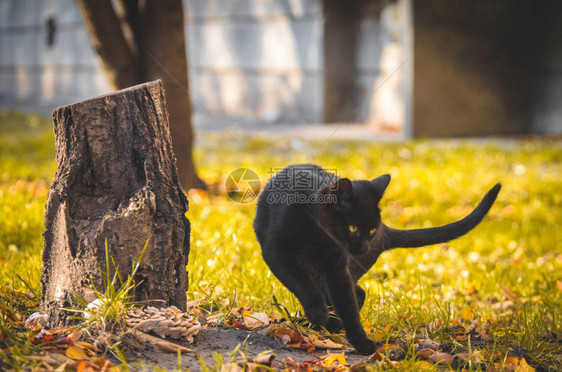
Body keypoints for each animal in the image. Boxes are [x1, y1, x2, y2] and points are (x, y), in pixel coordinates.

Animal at [254, 163, 498, 354]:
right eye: (352, 227)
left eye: (370, 230)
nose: (363, 247)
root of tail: (385, 233)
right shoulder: (276, 250)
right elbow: (300, 281)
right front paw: (317, 311)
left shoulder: (336, 266)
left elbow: (348, 307)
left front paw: (362, 343)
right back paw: (320, 323)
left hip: (341, 269)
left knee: (356, 294)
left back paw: (327, 326)